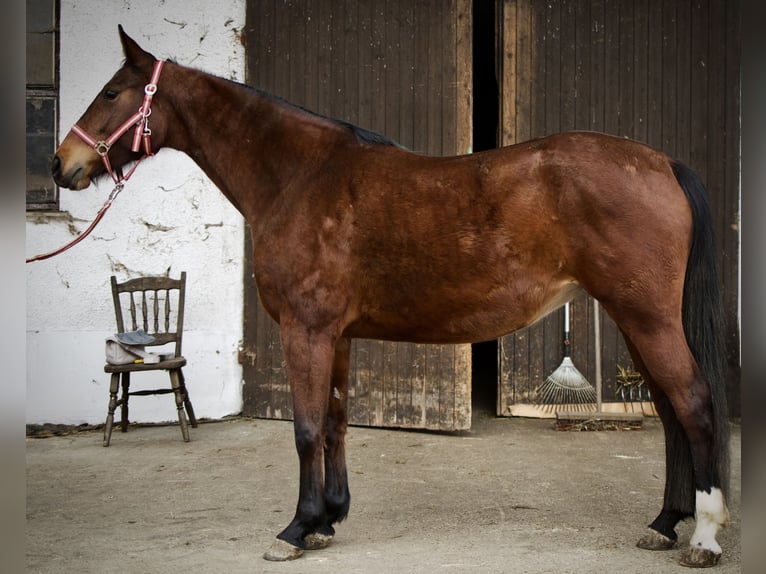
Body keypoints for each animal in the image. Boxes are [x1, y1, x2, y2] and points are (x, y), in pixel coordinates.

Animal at [51, 27, 730, 568]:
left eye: (110, 92)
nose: (62, 165)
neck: (299, 177)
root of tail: (662, 163)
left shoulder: (305, 330)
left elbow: (304, 428)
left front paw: (295, 528)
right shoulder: (336, 336)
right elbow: (334, 422)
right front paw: (328, 519)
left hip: (647, 319)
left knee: (694, 406)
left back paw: (705, 537)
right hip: (634, 320)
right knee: (669, 412)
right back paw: (664, 524)